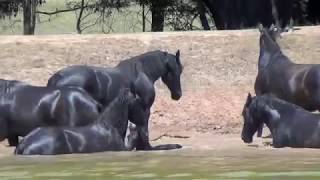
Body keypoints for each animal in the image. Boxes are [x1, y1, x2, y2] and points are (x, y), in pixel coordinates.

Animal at [46, 50, 184, 150]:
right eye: (178, 69)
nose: (178, 94)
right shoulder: (144, 109)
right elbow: (143, 129)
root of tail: (57, 77)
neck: (142, 73)